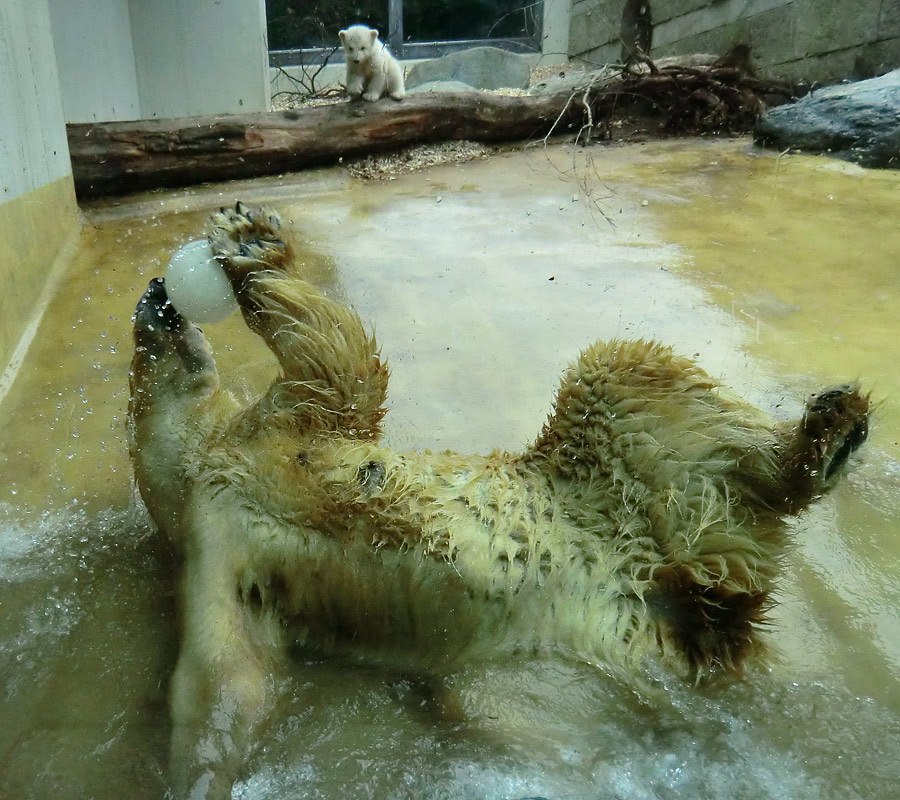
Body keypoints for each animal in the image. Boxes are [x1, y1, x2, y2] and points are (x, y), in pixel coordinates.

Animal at [126, 203, 864, 796]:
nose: (155, 289)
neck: (207, 463)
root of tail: (683, 594)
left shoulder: (279, 435)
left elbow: (340, 363)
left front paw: (248, 240)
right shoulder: (217, 550)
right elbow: (224, 678)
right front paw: (201, 774)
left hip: (621, 474)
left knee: (622, 370)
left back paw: (826, 431)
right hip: (561, 663)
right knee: (499, 708)